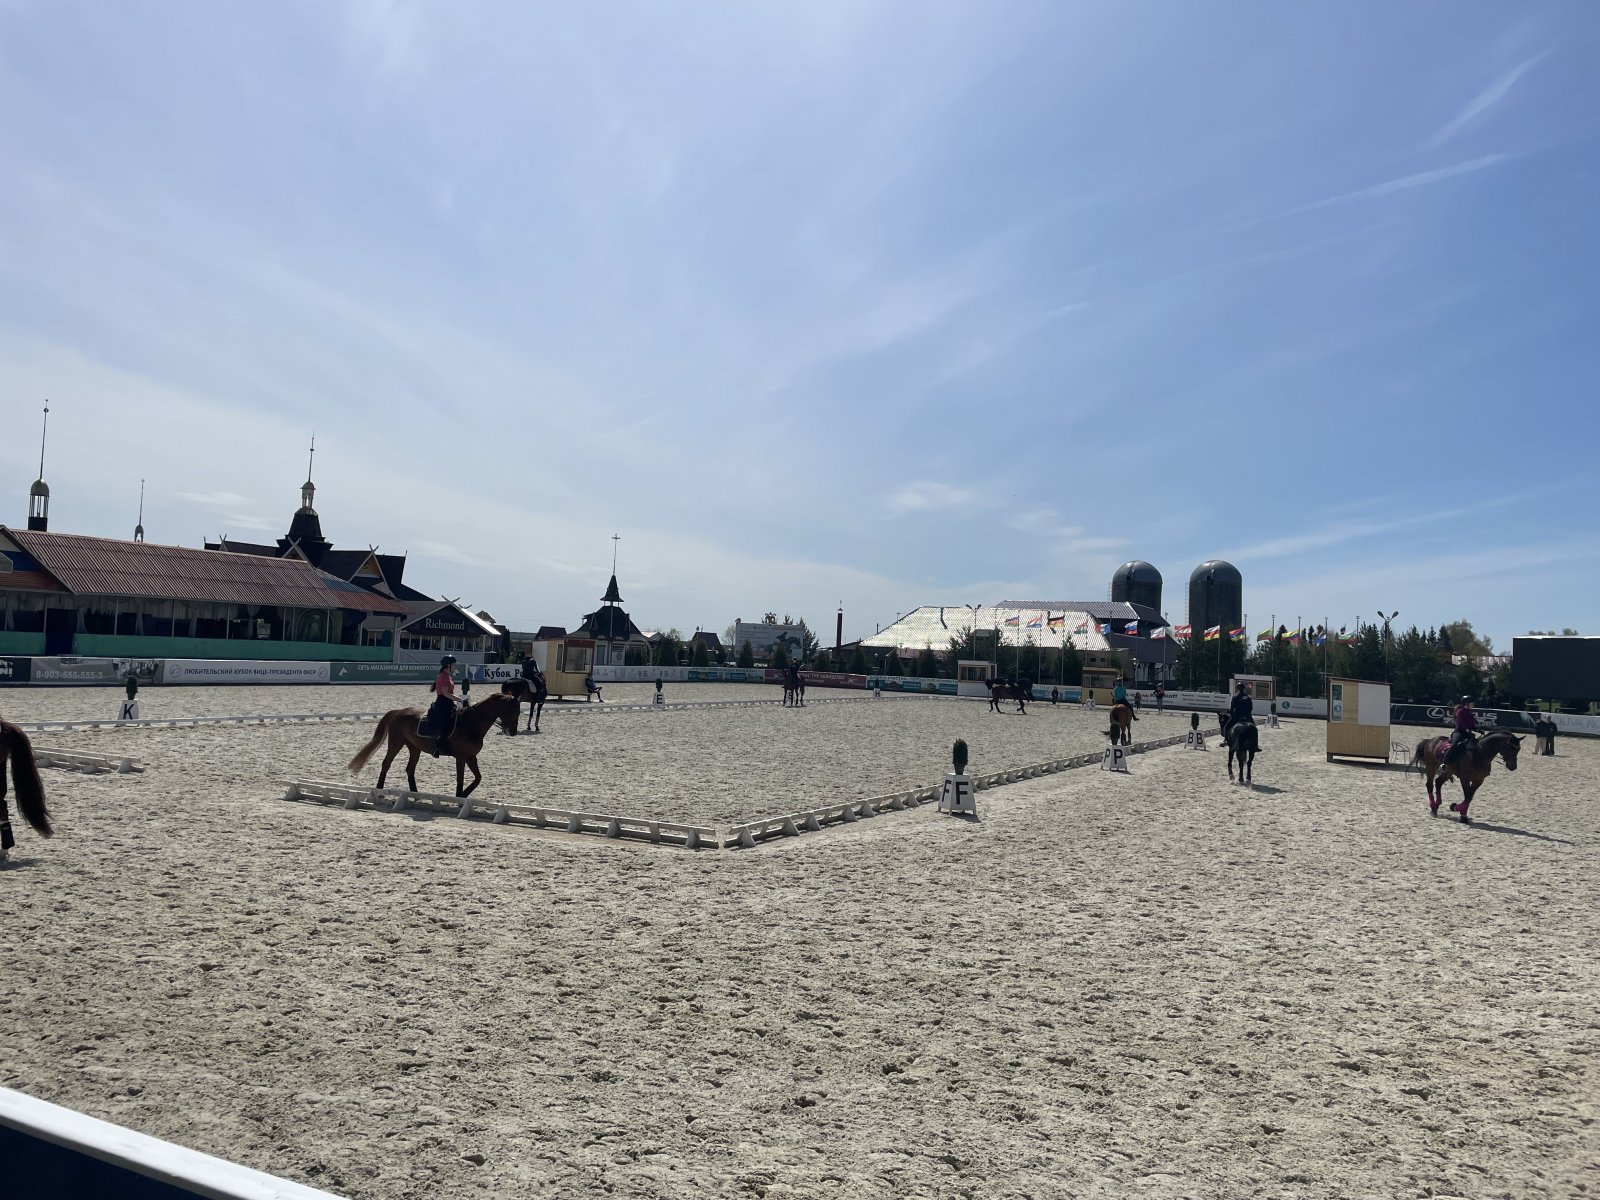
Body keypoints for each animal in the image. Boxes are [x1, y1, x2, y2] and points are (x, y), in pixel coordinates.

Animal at [347, 692, 521, 798]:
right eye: (515, 711)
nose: (512, 732)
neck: (471, 724)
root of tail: (397, 711)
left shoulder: (471, 756)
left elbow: (478, 778)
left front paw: (464, 795)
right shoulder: (461, 757)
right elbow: (460, 778)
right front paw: (459, 796)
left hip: (414, 748)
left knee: (410, 769)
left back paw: (415, 794)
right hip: (396, 742)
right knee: (386, 763)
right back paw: (380, 789)